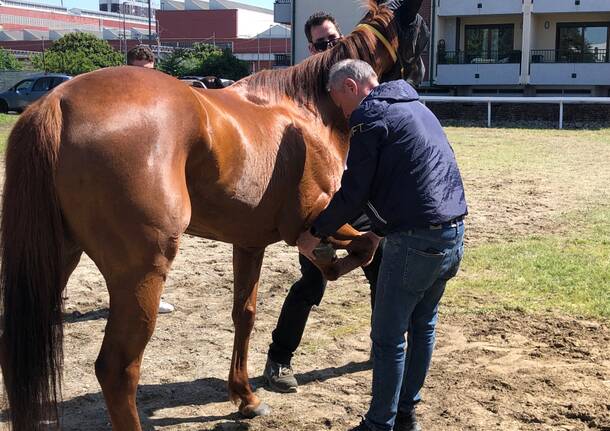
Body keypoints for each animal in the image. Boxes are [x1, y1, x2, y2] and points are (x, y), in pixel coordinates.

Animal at [0, 1, 428, 430]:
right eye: (421, 32)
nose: (419, 79)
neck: (305, 110)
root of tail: (58, 101)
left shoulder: (250, 242)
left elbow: (245, 313)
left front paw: (245, 396)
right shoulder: (312, 217)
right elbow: (366, 244)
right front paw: (329, 262)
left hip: (57, 258)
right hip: (141, 273)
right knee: (117, 369)